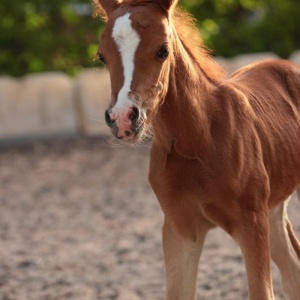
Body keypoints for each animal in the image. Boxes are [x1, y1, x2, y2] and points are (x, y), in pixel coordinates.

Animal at [94, 0, 300, 300]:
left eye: (162, 50)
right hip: (273, 207)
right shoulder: (180, 229)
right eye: (101, 56)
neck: (200, 139)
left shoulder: (252, 223)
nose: (122, 118)